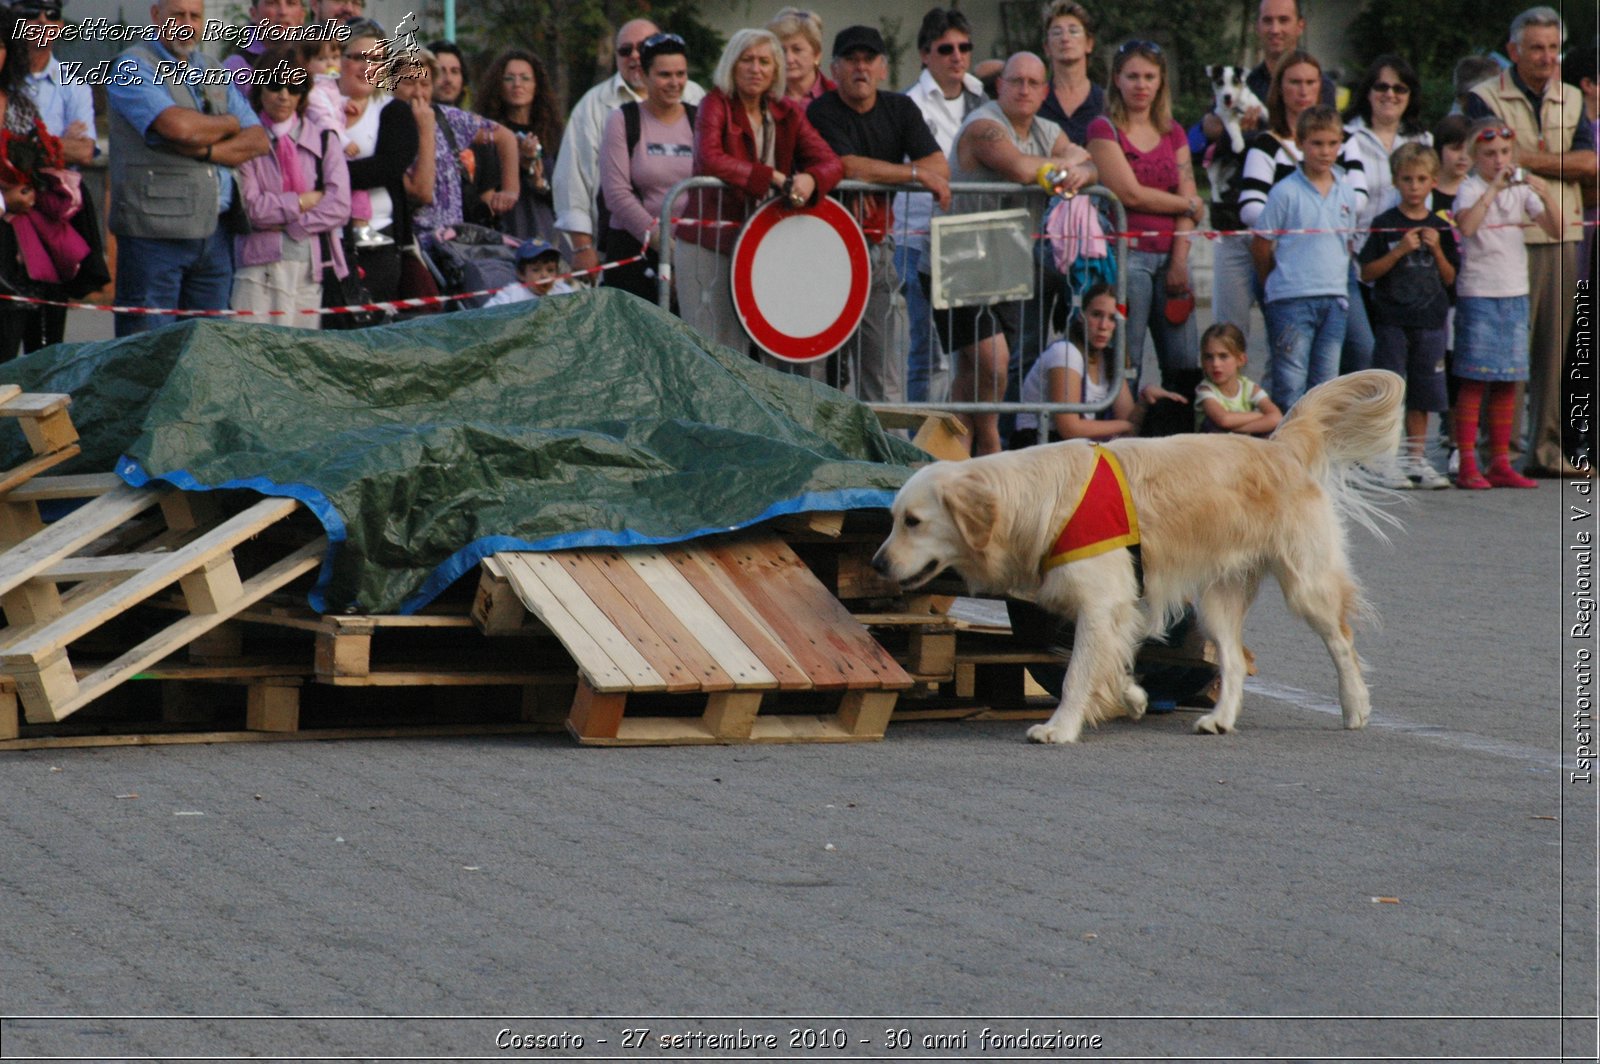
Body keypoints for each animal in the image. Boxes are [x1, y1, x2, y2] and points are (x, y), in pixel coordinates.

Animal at [876, 369, 1401, 742]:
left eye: (913, 522)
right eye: (893, 518)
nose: (878, 565)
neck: (1036, 500)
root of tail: (1278, 448)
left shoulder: (1101, 600)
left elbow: (1077, 671)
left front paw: (1060, 727)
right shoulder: (1104, 605)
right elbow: (1104, 660)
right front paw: (1132, 697)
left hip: (1306, 583)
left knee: (1342, 641)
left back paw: (1355, 706)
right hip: (1218, 599)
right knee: (1232, 660)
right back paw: (1220, 718)